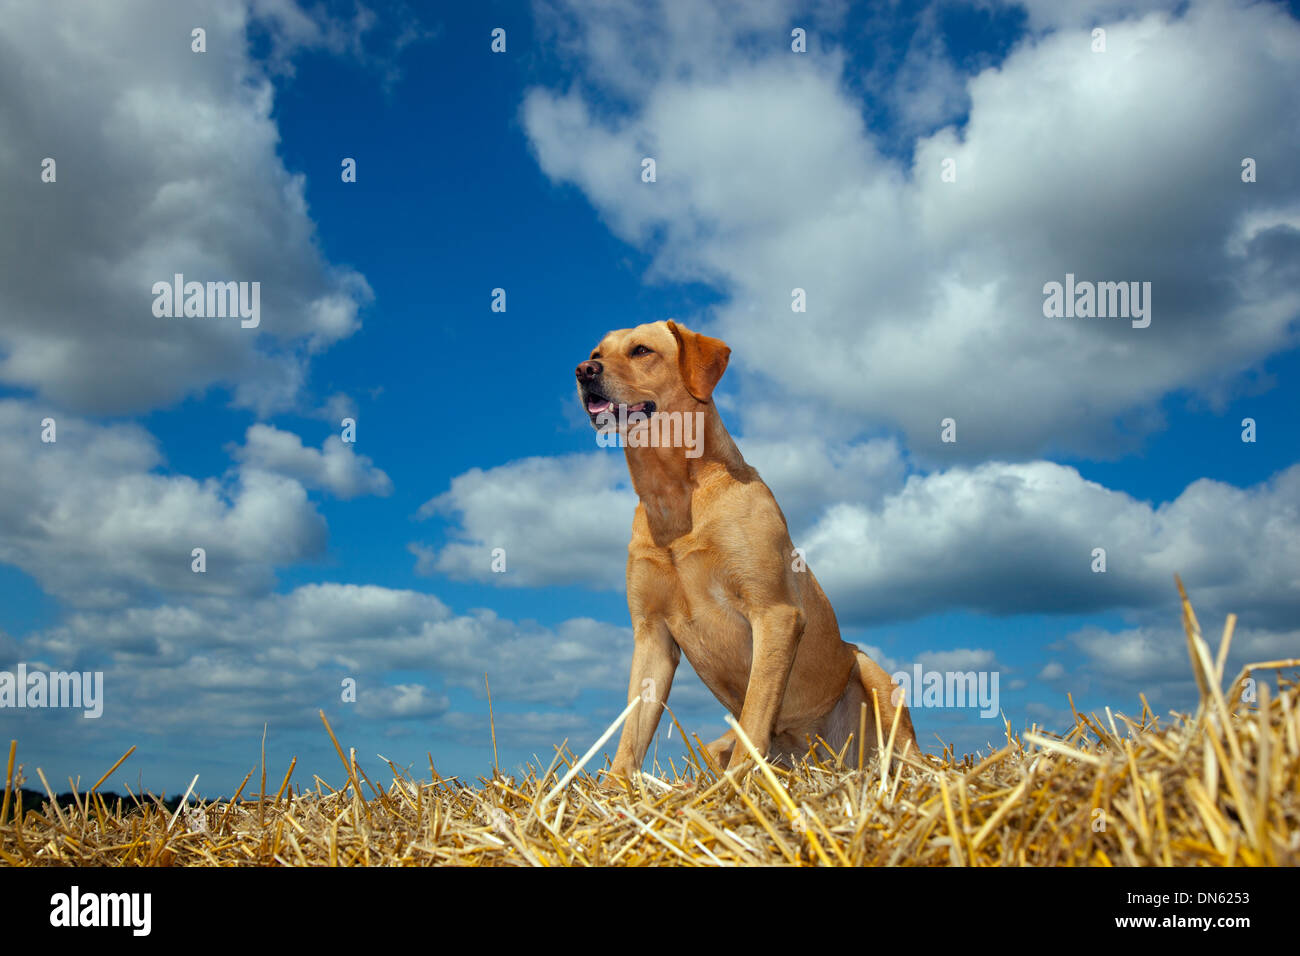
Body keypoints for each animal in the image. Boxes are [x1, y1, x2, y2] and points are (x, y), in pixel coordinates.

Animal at [579, 321, 915, 785]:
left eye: (641, 350)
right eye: (597, 352)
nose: (583, 371)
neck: (673, 496)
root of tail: (822, 760)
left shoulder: (774, 613)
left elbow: (755, 714)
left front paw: (738, 785)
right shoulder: (652, 635)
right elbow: (632, 730)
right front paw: (615, 789)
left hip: (870, 671)